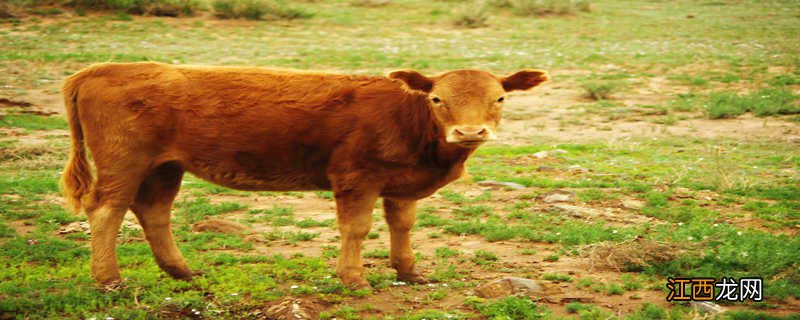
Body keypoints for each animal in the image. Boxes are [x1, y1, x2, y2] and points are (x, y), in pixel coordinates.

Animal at [62, 62, 548, 288]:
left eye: (500, 97)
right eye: (436, 99)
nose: (469, 132)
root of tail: (101, 68)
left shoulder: (401, 183)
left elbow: (403, 226)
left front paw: (410, 272)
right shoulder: (356, 177)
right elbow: (356, 228)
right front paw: (354, 278)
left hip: (165, 167)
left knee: (153, 211)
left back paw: (183, 272)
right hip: (124, 161)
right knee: (106, 211)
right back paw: (108, 279)